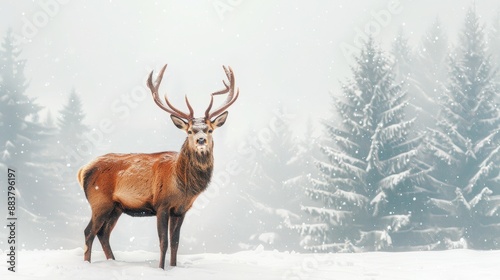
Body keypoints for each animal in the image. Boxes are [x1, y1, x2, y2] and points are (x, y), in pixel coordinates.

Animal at [78, 63, 240, 270]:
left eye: (209, 129)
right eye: (190, 131)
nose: (201, 139)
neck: (183, 185)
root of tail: (83, 170)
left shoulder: (180, 210)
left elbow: (176, 242)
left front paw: (174, 267)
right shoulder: (161, 205)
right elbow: (164, 242)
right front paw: (161, 268)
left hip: (116, 207)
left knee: (103, 233)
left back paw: (112, 261)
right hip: (99, 201)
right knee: (89, 232)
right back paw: (88, 264)